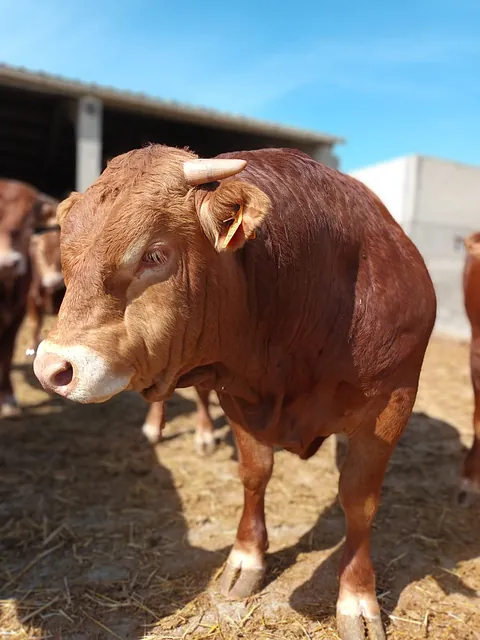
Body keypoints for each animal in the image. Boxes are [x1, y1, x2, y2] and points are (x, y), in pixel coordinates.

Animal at [33, 145, 436, 640]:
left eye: (155, 254)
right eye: (66, 256)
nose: (52, 368)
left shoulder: (391, 402)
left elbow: (358, 501)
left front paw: (357, 599)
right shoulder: (239, 395)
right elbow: (255, 473)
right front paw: (246, 559)